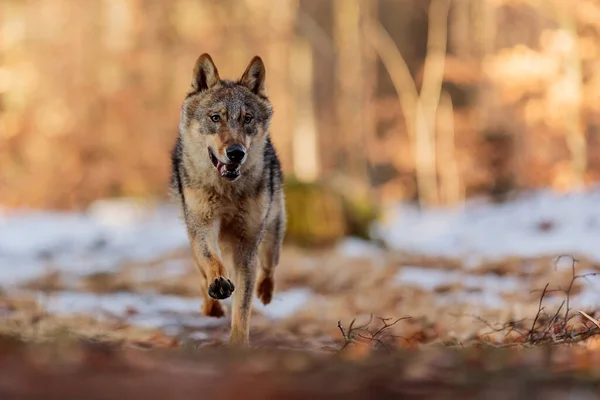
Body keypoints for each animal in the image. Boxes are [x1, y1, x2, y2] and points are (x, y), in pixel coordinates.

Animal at [170, 53, 288, 346]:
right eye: (215, 118)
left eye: (247, 118)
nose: (236, 153)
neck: (227, 191)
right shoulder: (202, 227)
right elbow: (211, 263)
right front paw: (218, 287)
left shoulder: (247, 245)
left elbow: (243, 306)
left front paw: (238, 343)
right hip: (194, 233)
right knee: (202, 272)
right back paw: (211, 305)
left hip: (272, 236)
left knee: (268, 269)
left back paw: (265, 292)